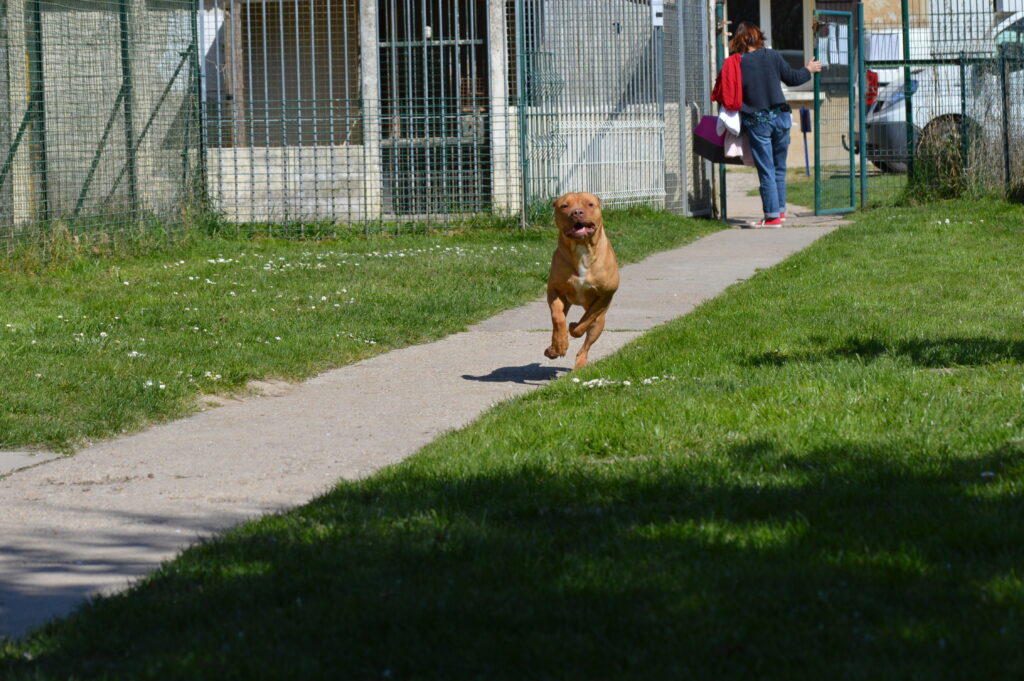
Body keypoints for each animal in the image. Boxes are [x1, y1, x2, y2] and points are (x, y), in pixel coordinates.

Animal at [543, 192, 619, 370]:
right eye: (564, 206)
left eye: (590, 204)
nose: (576, 212)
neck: (582, 247)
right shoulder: (554, 289)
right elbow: (558, 318)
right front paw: (560, 344)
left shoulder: (606, 295)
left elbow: (585, 321)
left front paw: (573, 327)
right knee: (558, 324)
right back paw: (554, 348)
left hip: (600, 321)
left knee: (587, 342)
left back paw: (579, 364)